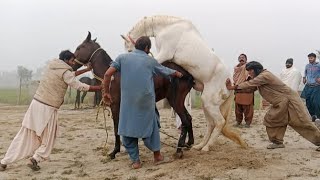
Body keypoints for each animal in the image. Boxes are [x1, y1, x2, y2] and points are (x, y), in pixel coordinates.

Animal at [121, 15, 246, 151]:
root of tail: (230, 83)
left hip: (209, 102)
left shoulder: (165, 53)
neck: (167, 27)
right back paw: (199, 145)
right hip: (206, 103)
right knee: (211, 124)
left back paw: (206, 147)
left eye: (129, 50)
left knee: (219, 122)